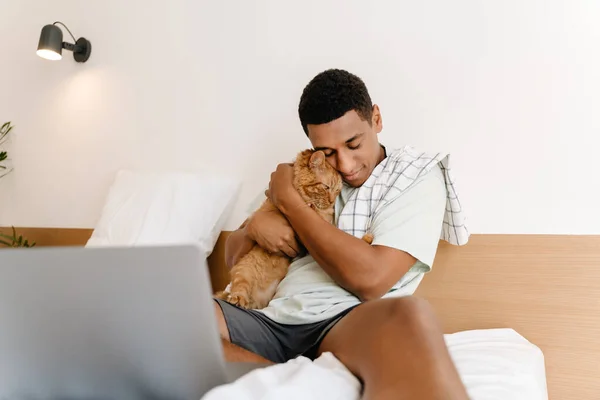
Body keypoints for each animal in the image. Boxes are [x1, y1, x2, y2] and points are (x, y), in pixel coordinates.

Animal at [218, 150, 344, 310]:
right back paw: (238, 299)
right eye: (326, 187)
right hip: (244, 271)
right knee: (238, 288)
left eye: (337, 191)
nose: (332, 201)